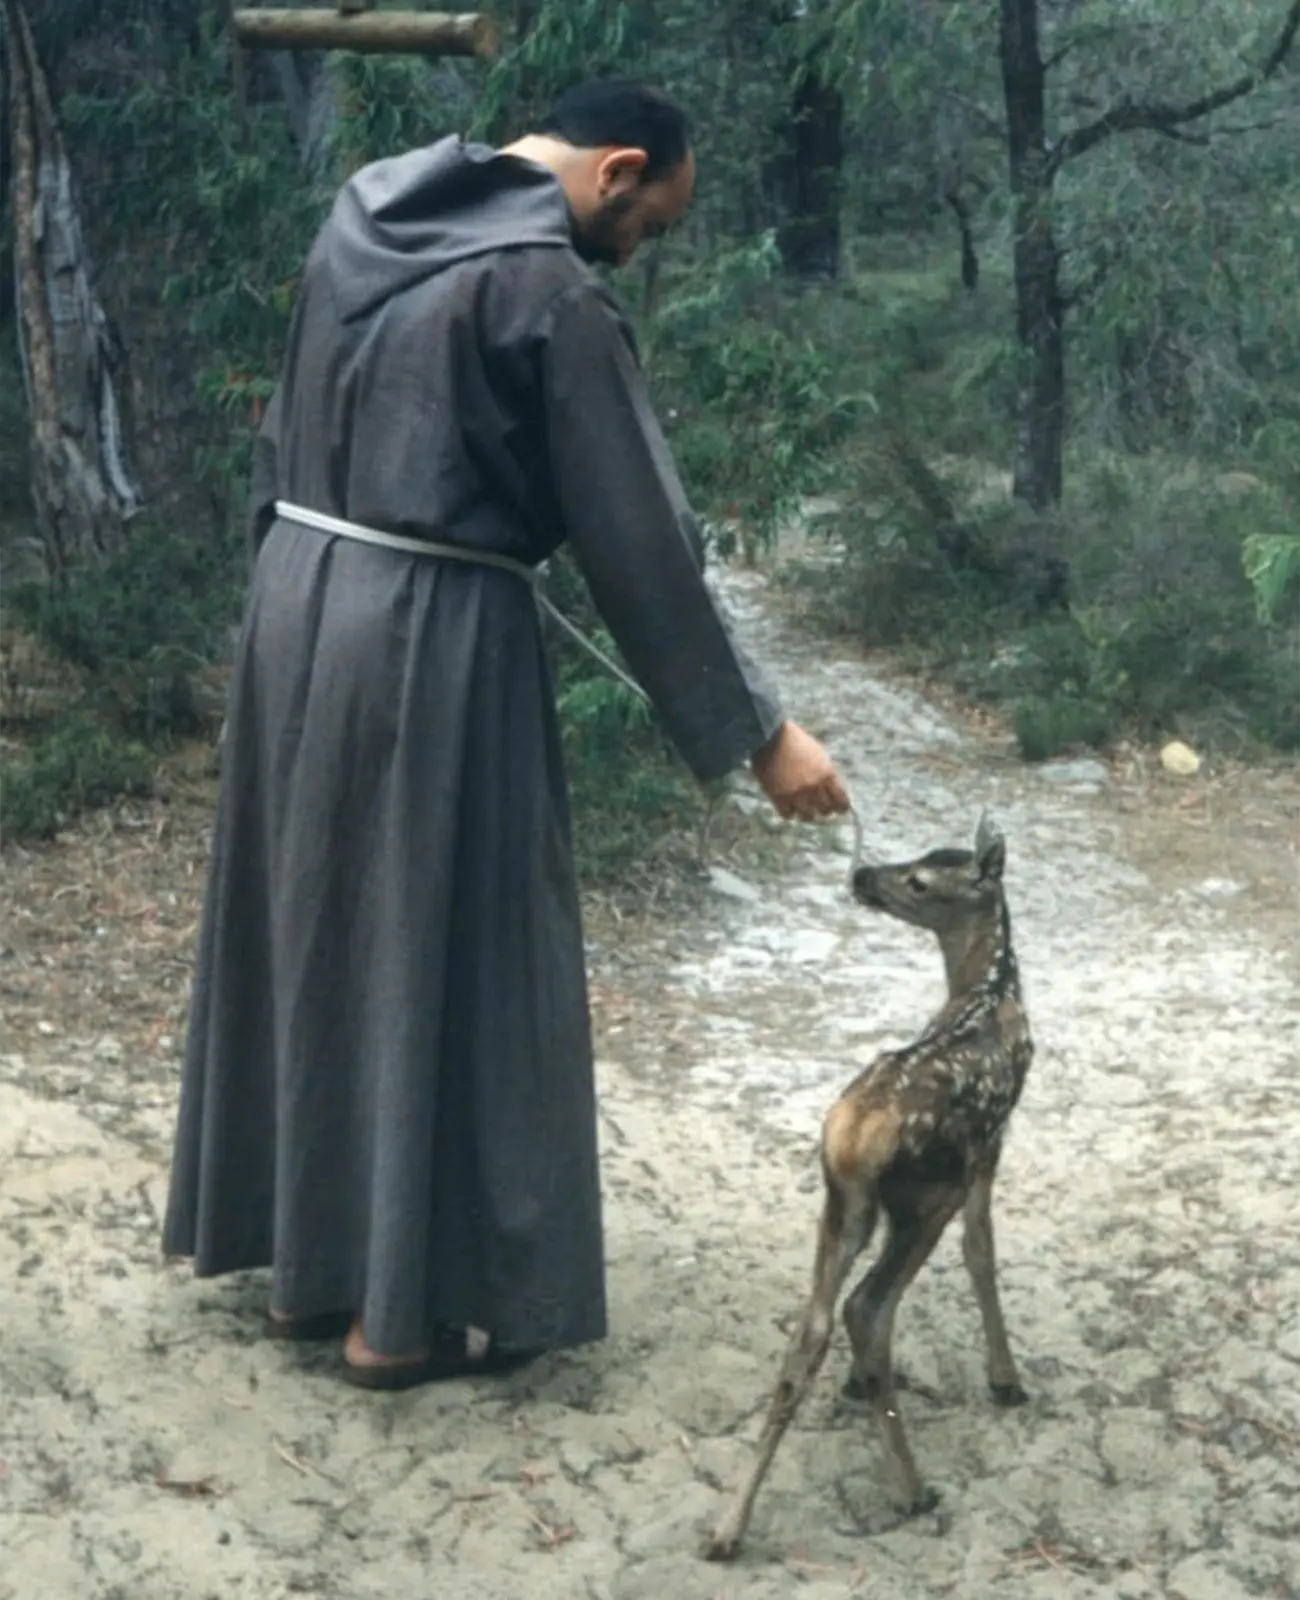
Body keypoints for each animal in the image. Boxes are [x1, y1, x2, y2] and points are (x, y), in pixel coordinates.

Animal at [705, 813, 1034, 1562]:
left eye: (919, 877)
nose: (860, 875)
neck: (991, 990)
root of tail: (855, 1137)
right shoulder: (990, 1143)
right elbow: (981, 1250)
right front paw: (1005, 1379)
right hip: (923, 1198)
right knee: (866, 1307)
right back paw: (912, 1489)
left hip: (844, 1205)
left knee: (813, 1325)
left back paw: (728, 1526)